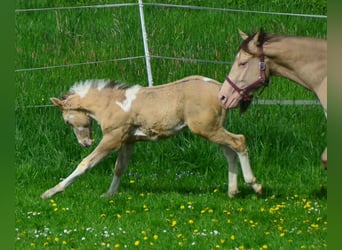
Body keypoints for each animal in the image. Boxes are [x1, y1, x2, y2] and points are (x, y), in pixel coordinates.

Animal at [41, 75, 264, 198]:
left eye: (67, 121)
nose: (85, 143)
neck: (111, 103)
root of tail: (220, 89)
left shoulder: (113, 138)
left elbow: (85, 164)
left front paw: (51, 192)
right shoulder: (129, 141)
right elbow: (119, 168)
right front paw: (109, 195)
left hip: (206, 128)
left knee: (239, 141)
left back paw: (255, 185)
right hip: (213, 129)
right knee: (230, 152)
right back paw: (233, 191)